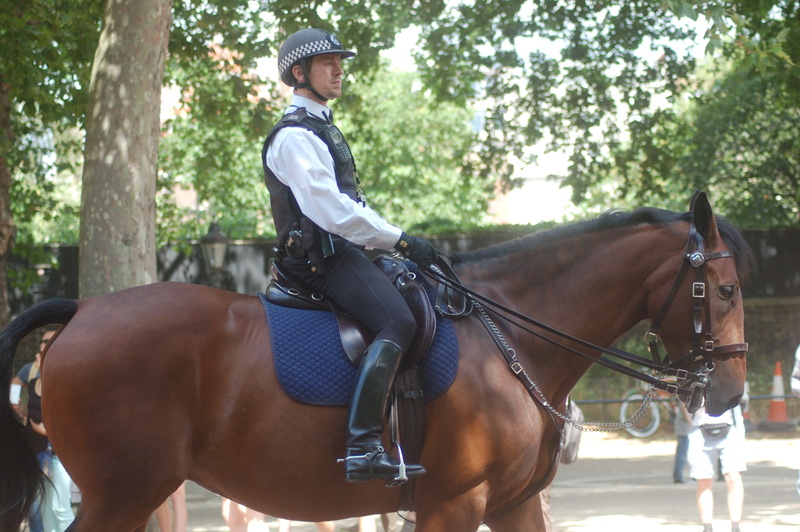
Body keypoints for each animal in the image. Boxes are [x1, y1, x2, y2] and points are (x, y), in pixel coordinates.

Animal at [0, 192, 750, 532]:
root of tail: (84, 310)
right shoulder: (453, 505)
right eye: (725, 289)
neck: (508, 337)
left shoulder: (513, 505)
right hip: (124, 491)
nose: (730, 392)